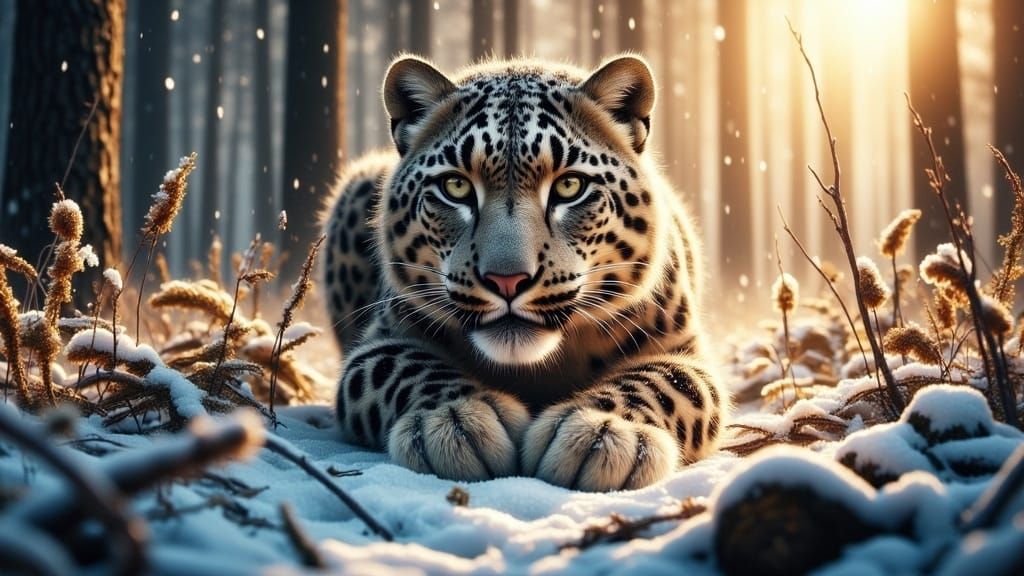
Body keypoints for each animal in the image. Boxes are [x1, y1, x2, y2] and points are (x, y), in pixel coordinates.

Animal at [321, 54, 727, 492]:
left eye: (569, 186)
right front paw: (458, 420)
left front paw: (600, 433)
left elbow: (664, 383)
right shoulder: (380, 342)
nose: (507, 281)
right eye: (455, 187)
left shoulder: (685, 352)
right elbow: (405, 368)